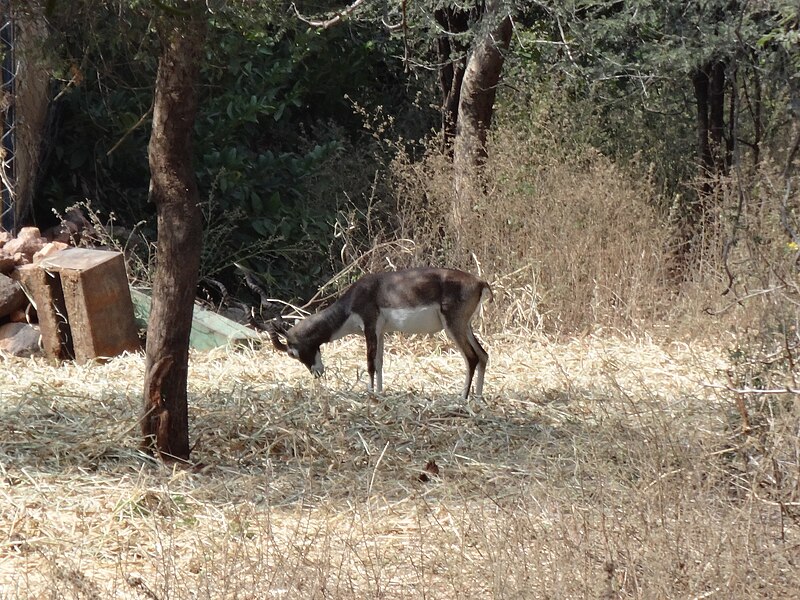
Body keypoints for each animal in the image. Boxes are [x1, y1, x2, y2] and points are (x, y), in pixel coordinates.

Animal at [272, 268, 490, 398]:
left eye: (293, 353)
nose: (316, 372)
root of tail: (480, 282)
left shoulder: (370, 326)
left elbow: (369, 363)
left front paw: (370, 394)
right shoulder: (381, 332)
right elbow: (379, 363)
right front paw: (379, 392)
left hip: (453, 326)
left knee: (471, 357)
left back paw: (463, 398)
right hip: (465, 327)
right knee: (483, 355)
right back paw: (478, 398)